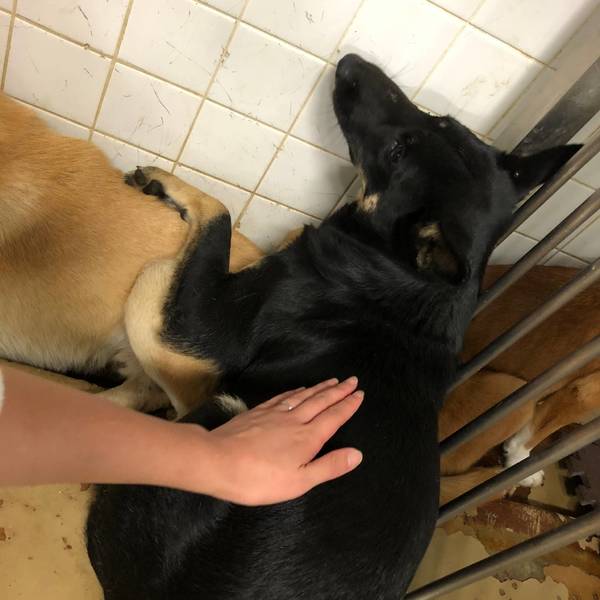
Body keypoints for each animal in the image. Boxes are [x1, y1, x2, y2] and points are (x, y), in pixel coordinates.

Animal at [85, 54, 579, 600]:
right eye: (442, 121)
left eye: (397, 152)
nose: (352, 63)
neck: (404, 277)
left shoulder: (197, 326)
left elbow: (217, 218)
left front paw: (168, 184)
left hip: (224, 415)